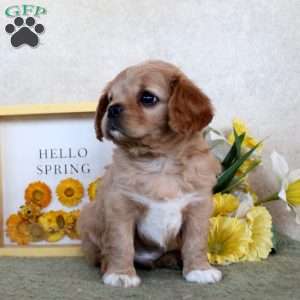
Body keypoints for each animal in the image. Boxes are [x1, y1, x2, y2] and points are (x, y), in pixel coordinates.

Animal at [78, 59, 221, 288]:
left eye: (147, 98)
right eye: (110, 98)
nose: (112, 109)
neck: (159, 161)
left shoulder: (198, 206)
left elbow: (196, 241)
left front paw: (200, 269)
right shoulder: (120, 206)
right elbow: (121, 243)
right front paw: (121, 274)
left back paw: (173, 259)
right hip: (89, 218)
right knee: (102, 253)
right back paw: (107, 265)